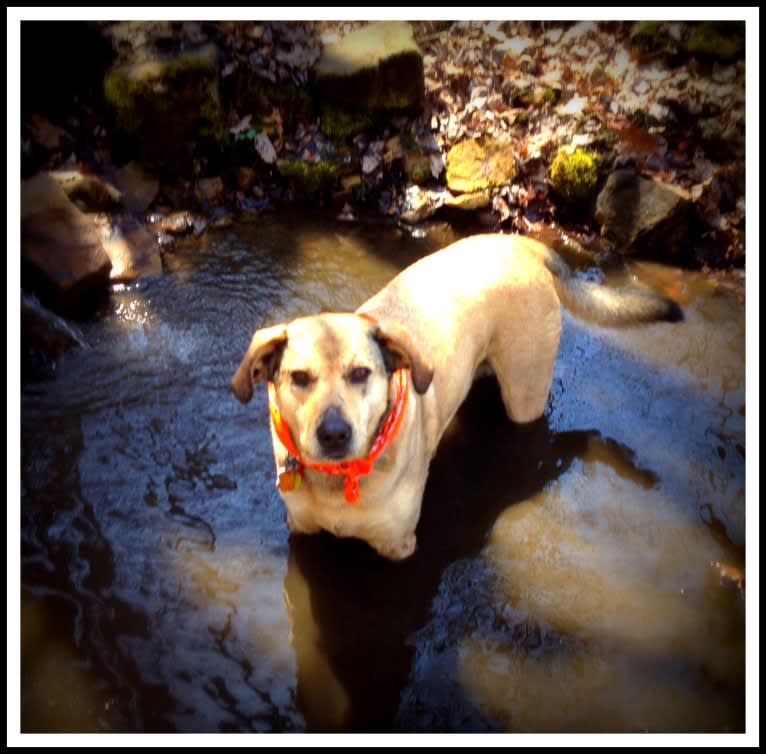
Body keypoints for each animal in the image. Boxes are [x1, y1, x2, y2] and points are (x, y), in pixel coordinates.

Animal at [231, 235, 680, 560]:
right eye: (299, 377)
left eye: (360, 373)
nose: (334, 435)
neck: (339, 481)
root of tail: (525, 244)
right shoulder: (301, 529)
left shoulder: (398, 547)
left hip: (524, 394)